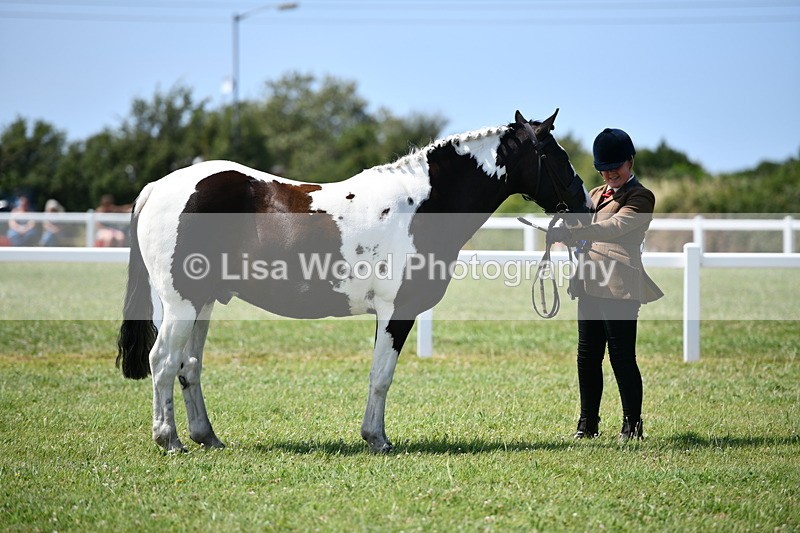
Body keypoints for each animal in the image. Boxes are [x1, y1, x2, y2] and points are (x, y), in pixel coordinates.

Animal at [116, 109, 592, 453]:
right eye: (556, 155)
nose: (585, 205)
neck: (421, 205)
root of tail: (157, 188)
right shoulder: (397, 312)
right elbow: (381, 376)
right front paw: (377, 439)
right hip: (181, 304)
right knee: (163, 361)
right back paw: (169, 441)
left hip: (203, 304)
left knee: (189, 366)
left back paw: (206, 437)